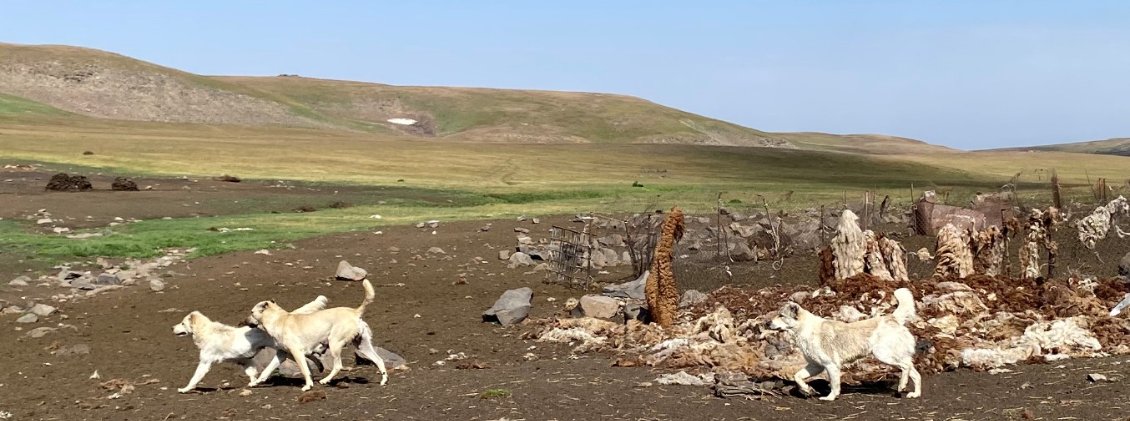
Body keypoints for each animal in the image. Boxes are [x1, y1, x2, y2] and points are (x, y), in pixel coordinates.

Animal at [171, 293, 329, 392]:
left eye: (182, 323)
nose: (172, 328)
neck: (207, 332)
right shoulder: (244, 361)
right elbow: (253, 373)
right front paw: (253, 383)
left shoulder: (205, 363)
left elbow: (194, 379)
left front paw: (184, 389)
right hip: (285, 351)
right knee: (308, 356)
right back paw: (318, 368)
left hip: (288, 350)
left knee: (307, 356)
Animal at [247, 278, 388, 390]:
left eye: (252, 312)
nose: (243, 321)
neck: (279, 319)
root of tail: (355, 312)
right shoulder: (282, 354)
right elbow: (266, 371)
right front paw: (255, 382)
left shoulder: (297, 353)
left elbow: (305, 370)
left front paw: (308, 386)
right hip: (362, 345)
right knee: (379, 360)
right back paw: (384, 380)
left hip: (334, 343)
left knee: (338, 366)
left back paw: (325, 380)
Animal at [768, 285, 917, 399]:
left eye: (781, 315)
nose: (767, 323)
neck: (804, 328)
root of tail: (892, 318)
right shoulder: (815, 366)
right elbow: (797, 377)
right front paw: (807, 389)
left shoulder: (831, 365)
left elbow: (834, 385)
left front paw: (829, 398)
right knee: (915, 372)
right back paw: (914, 394)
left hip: (883, 355)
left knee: (905, 367)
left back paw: (901, 386)